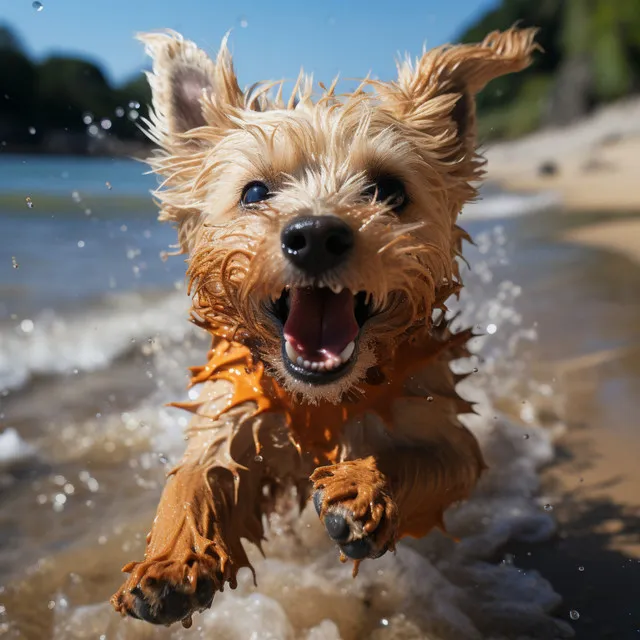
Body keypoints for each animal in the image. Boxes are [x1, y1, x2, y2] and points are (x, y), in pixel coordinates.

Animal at [111, 25, 540, 624]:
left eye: (388, 190)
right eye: (255, 192)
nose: (315, 234)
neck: (319, 400)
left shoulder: (444, 434)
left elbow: (421, 461)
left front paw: (362, 488)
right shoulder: (232, 413)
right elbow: (194, 479)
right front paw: (174, 559)